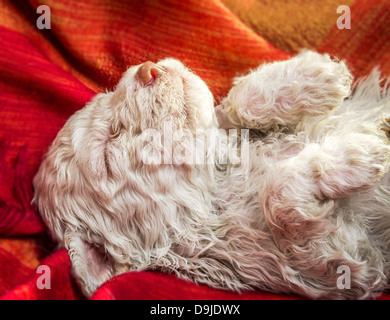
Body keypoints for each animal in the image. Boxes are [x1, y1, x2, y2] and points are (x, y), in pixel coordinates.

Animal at [32, 51, 390, 298]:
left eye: (108, 96)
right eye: (106, 154)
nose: (147, 68)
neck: (215, 189)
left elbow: (231, 108)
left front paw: (314, 75)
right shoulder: (332, 265)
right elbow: (277, 194)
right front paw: (358, 156)